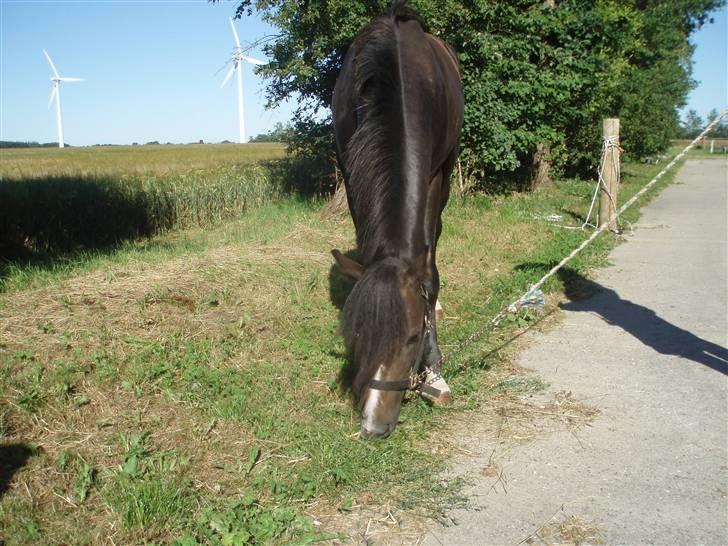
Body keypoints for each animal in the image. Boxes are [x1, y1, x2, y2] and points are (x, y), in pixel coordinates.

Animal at [332, 2, 464, 436]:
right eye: (357, 336)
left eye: (411, 338)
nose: (373, 425)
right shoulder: (352, 172)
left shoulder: (436, 174)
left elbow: (430, 271)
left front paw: (434, 374)